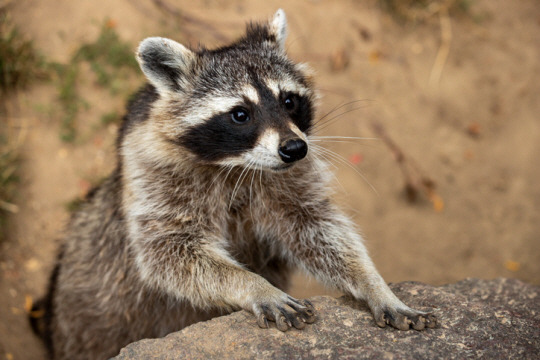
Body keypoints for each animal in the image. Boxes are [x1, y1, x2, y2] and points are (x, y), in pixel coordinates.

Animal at [30, 9, 434, 360]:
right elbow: (169, 252)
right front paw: (253, 285)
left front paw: (373, 283)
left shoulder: (291, 177)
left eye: (289, 101)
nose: (295, 149)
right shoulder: (152, 172)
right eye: (240, 114)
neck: (238, 164)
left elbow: (315, 227)